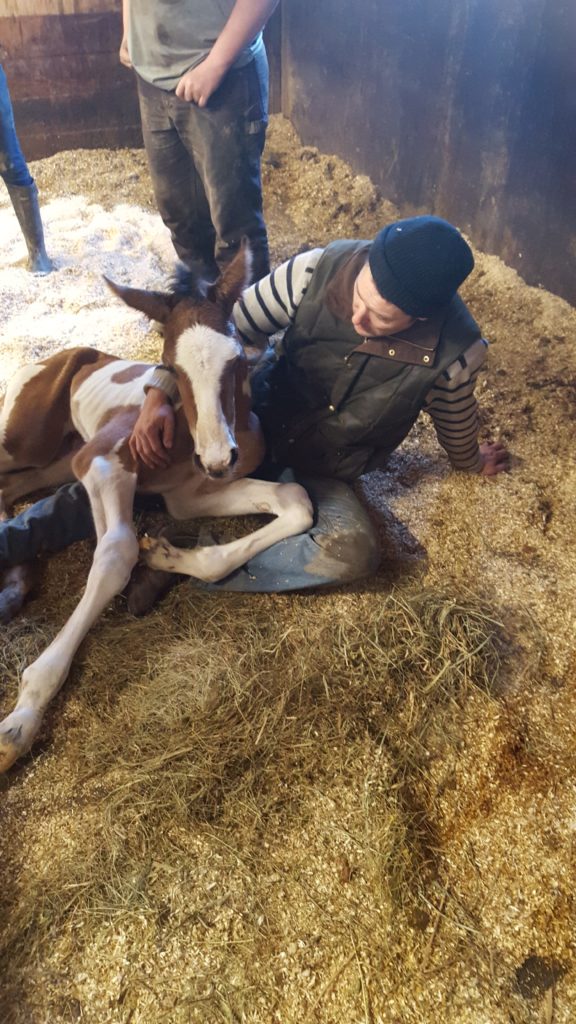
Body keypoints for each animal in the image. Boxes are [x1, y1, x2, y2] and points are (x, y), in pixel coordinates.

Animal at [0, 243, 311, 770]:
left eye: (237, 361)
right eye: (169, 366)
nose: (217, 457)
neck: (184, 437)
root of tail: (58, 356)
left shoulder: (188, 495)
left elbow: (296, 502)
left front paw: (166, 555)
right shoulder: (99, 461)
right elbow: (116, 552)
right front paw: (22, 718)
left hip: (52, 464)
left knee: (7, 489)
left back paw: (16, 582)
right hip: (23, 442)